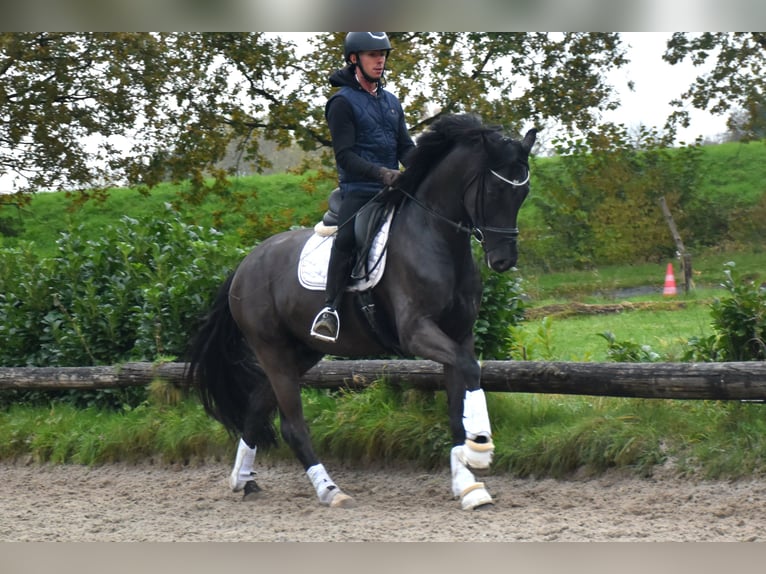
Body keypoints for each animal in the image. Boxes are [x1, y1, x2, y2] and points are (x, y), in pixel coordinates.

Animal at [187, 115, 536, 510]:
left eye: (523, 193)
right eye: (493, 192)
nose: (504, 260)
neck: (437, 237)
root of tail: (245, 264)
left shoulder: (458, 335)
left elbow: (456, 406)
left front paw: (469, 486)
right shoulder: (417, 331)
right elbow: (470, 369)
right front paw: (479, 449)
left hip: (302, 351)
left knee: (258, 405)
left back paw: (244, 480)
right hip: (271, 348)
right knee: (292, 424)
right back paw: (329, 490)